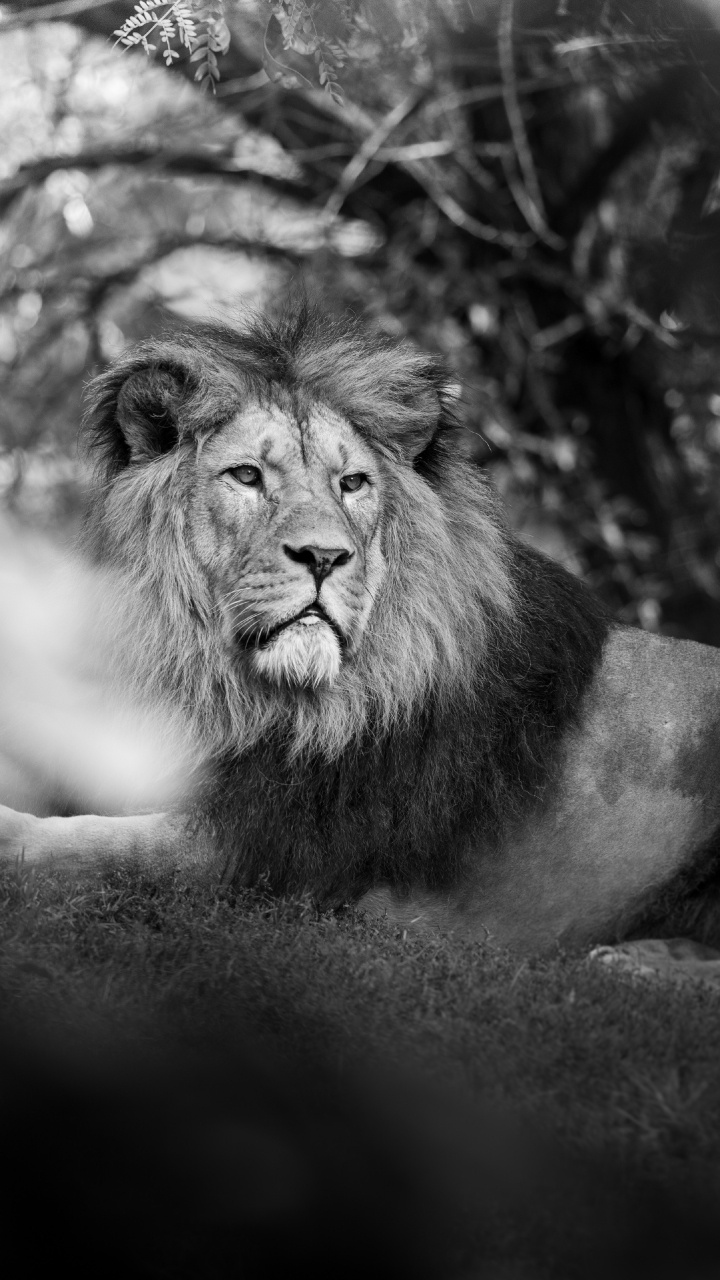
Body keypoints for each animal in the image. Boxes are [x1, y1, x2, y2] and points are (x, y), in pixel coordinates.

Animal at [2, 302, 720, 956]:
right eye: (247, 476)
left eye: (351, 484)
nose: (324, 556)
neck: (231, 690)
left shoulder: (268, 853)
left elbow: (108, 851)